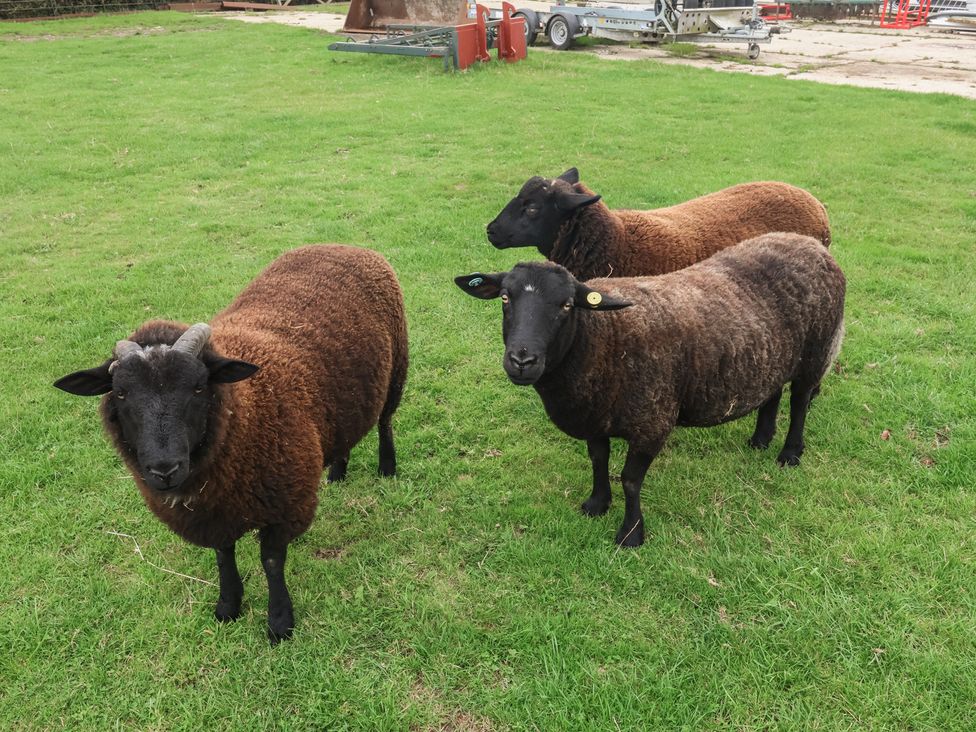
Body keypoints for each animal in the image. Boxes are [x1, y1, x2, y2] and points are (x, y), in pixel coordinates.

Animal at [54, 245, 409, 642]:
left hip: (397, 367)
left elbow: (271, 561)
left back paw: (387, 467)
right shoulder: (216, 511)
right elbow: (224, 555)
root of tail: (342, 245)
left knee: (385, 422)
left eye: (198, 387)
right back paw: (336, 471)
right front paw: (228, 605)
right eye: (120, 393)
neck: (246, 409)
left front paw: (279, 622)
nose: (164, 469)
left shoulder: (286, 503)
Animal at [455, 232, 845, 548]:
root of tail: (810, 243)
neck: (604, 337)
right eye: (505, 298)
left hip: (816, 350)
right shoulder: (596, 415)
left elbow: (630, 480)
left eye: (566, 305)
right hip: (773, 353)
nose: (522, 360)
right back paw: (760, 439)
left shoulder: (652, 422)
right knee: (772, 391)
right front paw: (596, 504)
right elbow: (598, 460)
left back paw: (789, 453)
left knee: (800, 401)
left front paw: (630, 534)